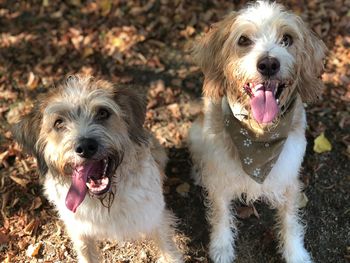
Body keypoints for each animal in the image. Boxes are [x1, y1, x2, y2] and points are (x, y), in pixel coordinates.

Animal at [13, 75, 183, 262]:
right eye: (59, 122)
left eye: (103, 112)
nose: (85, 146)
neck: (105, 200)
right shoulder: (80, 231)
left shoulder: (156, 217)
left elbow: (168, 251)